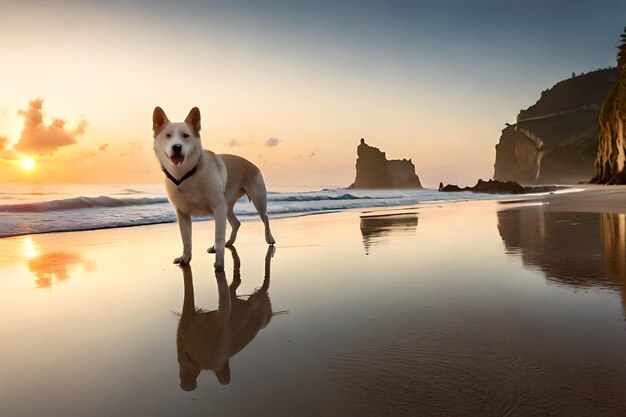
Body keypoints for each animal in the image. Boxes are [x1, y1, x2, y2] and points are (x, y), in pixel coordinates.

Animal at [151, 107, 272, 270]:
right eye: (168, 136)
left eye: (186, 136)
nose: (176, 146)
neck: (187, 174)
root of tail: (251, 163)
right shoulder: (182, 214)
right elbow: (186, 240)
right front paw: (185, 258)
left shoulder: (218, 207)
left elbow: (218, 237)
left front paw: (219, 263)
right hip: (227, 206)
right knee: (236, 223)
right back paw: (229, 242)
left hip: (256, 198)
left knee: (265, 217)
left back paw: (269, 238)